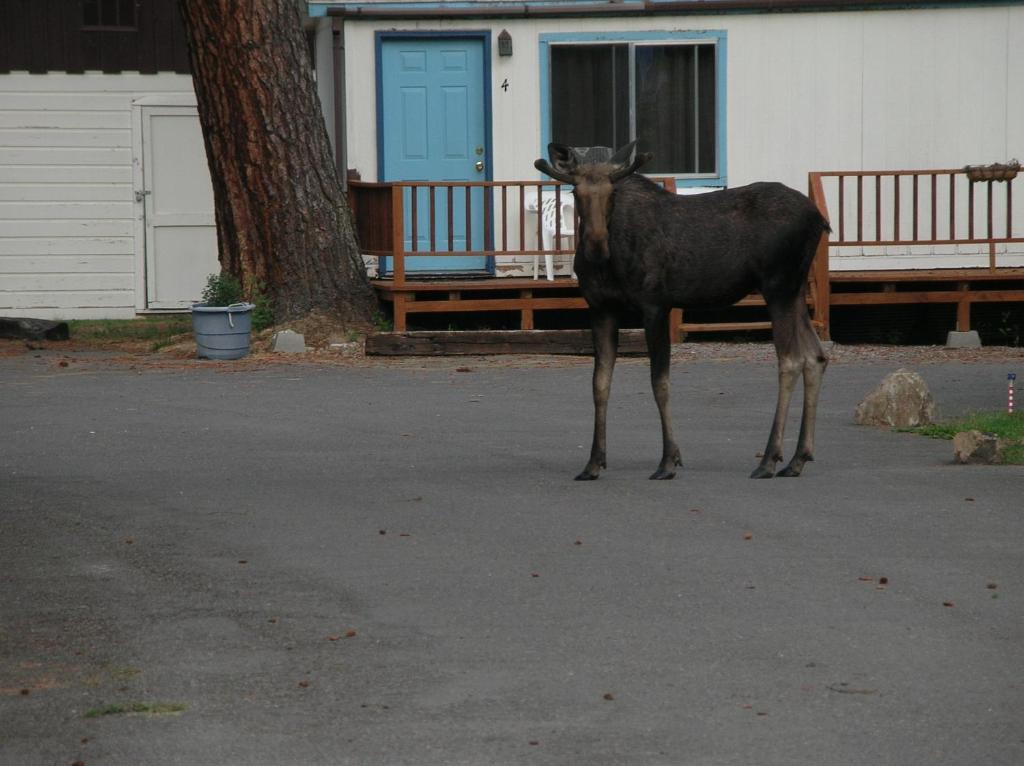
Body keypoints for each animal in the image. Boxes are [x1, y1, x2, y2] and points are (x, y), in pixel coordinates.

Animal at [536, 140, 831, 481]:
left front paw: (668, 461)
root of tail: (820, 219)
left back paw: (769, 459)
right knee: (815, 356)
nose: (597, 244)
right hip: (794, 291)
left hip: (778, 287)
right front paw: (594, 463)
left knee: (790, 361)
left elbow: (660, 383)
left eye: (612, 191)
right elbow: (600, 384)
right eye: (575, 191)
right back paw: (797, 458)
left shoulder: (655, 304)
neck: (607, 262)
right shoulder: (600, 309)